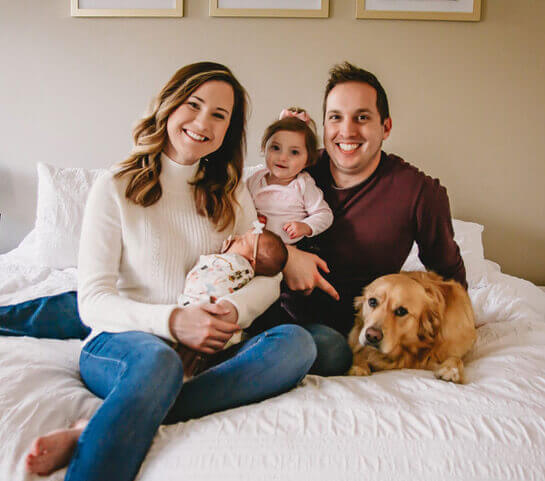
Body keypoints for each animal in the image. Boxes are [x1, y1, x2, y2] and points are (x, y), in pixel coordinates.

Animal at [348, 270, 476, 382]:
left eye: (401, 311)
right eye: (372, 301)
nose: (372, 335)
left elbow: (457, 358)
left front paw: (451, 369)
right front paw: (358, 365)